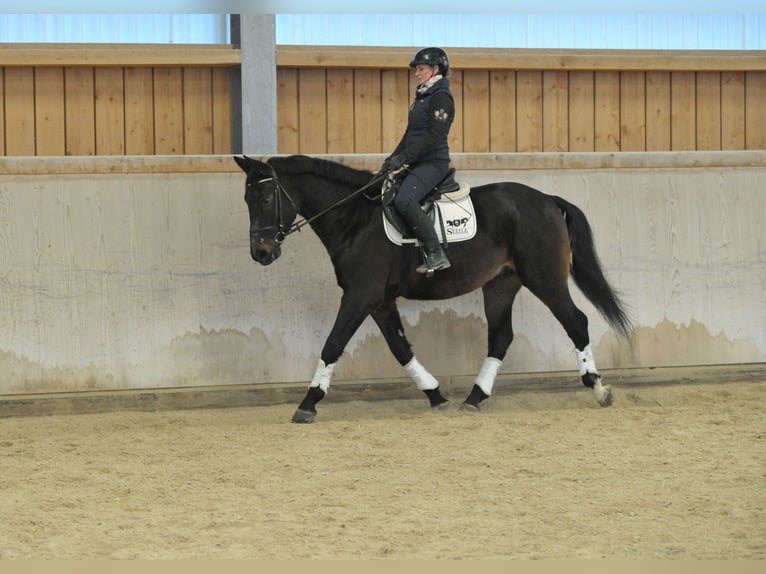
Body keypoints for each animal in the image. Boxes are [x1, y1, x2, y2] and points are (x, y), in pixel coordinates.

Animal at [234, 154, 632, 423]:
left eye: (265, 199)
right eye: (247, 200)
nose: (261, 253)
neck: (355, 219)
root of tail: (549, 200)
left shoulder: (360, 295)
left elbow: (332, 344)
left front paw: (308, 403)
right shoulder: (379, 301)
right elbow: (400, 349)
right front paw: (436, 395)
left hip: (544, 279)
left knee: (576, 322)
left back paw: (599, 390)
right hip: (501, 284)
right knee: (501, 337)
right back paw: (474, 397)